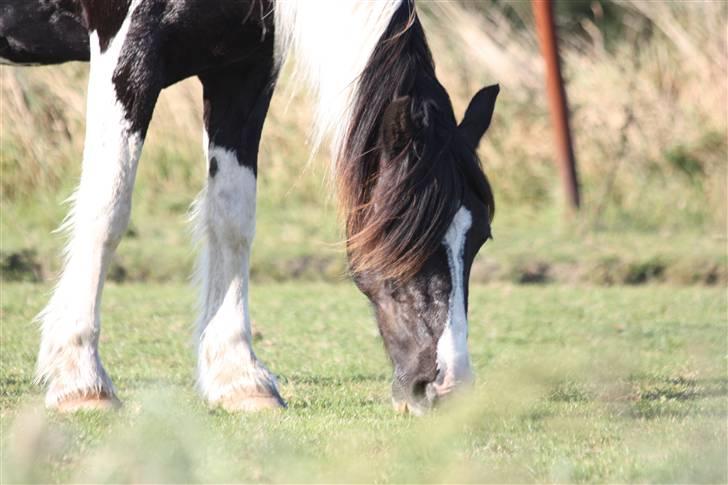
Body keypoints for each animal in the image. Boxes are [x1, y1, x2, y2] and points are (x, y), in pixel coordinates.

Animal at [0, 0, 498, 416]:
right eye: (406, 235)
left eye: (479, 240)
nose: (446, 387)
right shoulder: (124, 52)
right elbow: (108, 209)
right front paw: (82, 380)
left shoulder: (244, 69)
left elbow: (232, 217)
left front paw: (239, 377)